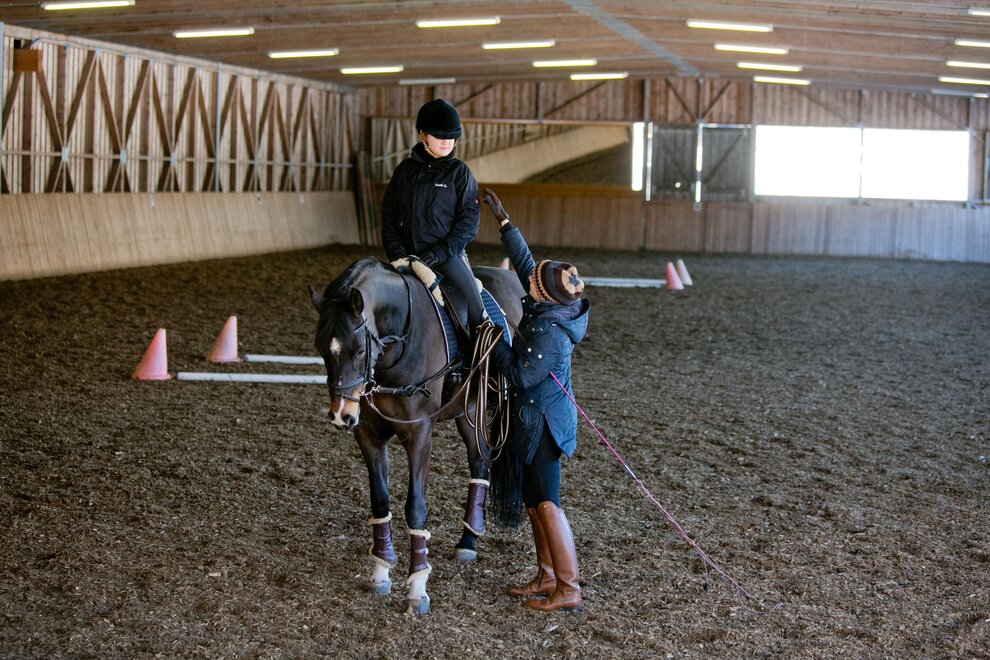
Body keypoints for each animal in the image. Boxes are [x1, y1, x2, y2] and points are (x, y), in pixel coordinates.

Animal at [309, 256, 524, 615]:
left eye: (358, 349)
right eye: (321, 349)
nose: (341, 415)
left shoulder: (419, 433)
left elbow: (416, 507)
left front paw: (417, 588)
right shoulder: (368, 434)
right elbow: (380, 501)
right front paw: (381, 572)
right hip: (468, 411)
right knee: (479, 463)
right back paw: (468, 541)